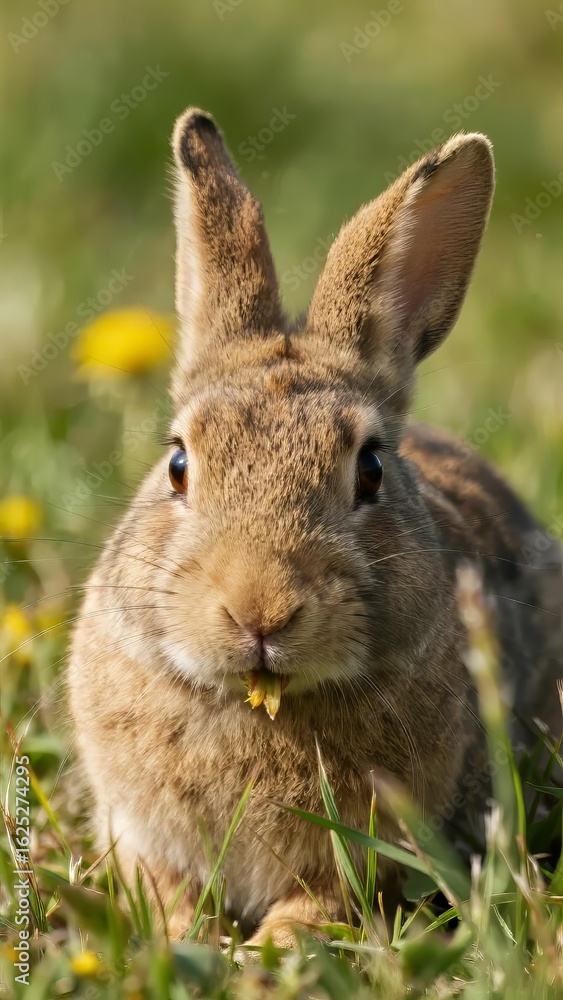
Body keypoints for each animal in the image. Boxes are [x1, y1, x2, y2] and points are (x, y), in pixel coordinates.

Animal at [67, 108, 562, 948]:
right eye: (178, 464)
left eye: (369, 469)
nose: (258, 611)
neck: (261, 702)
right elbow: (162, 888)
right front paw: (183, 937)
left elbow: (320, 905)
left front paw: (271, 952)